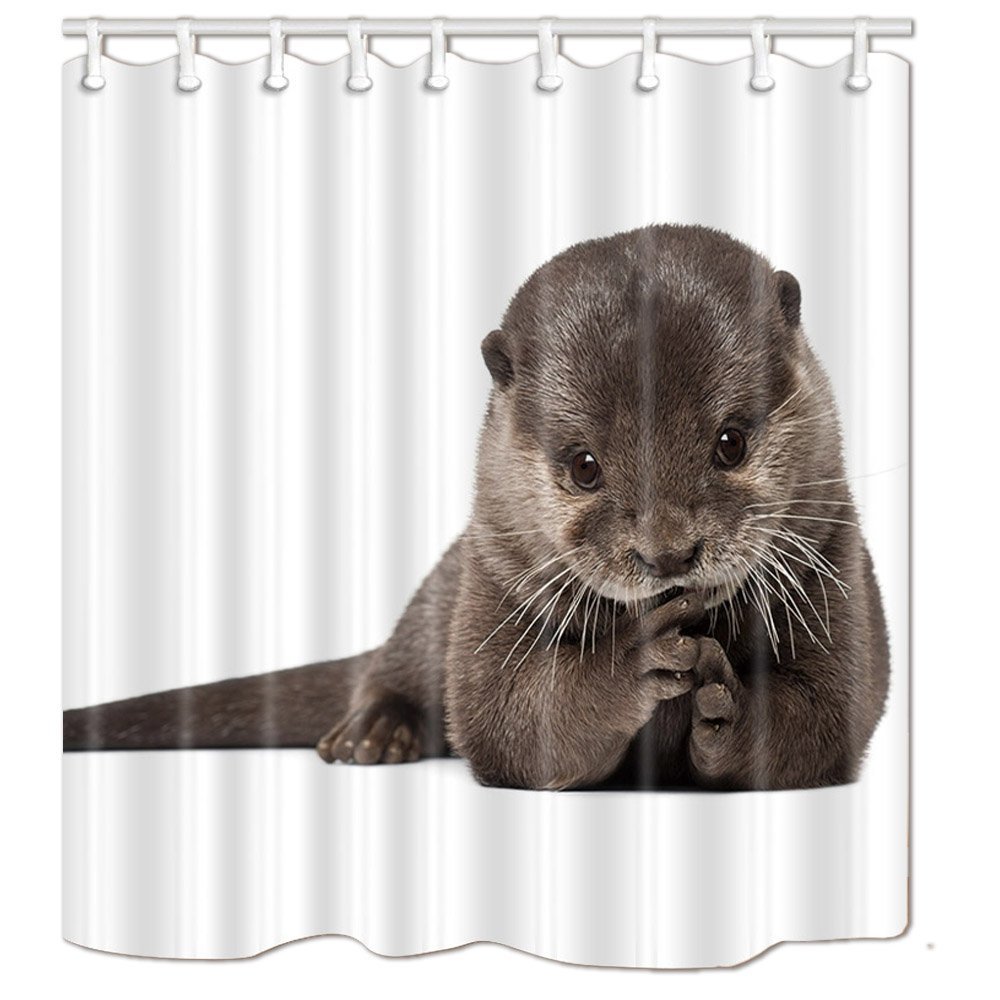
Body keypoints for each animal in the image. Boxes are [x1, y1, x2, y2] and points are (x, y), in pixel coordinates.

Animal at [63, 224, 890, 791]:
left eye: (730, 442)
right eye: (584, 466)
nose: (668, 552)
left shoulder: (835, 560)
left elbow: (832, 714)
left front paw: (730, 706)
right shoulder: (493, 573)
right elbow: (504, 717)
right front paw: (631, 659)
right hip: (443, 589)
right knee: (388, 666)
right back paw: (371, 734)